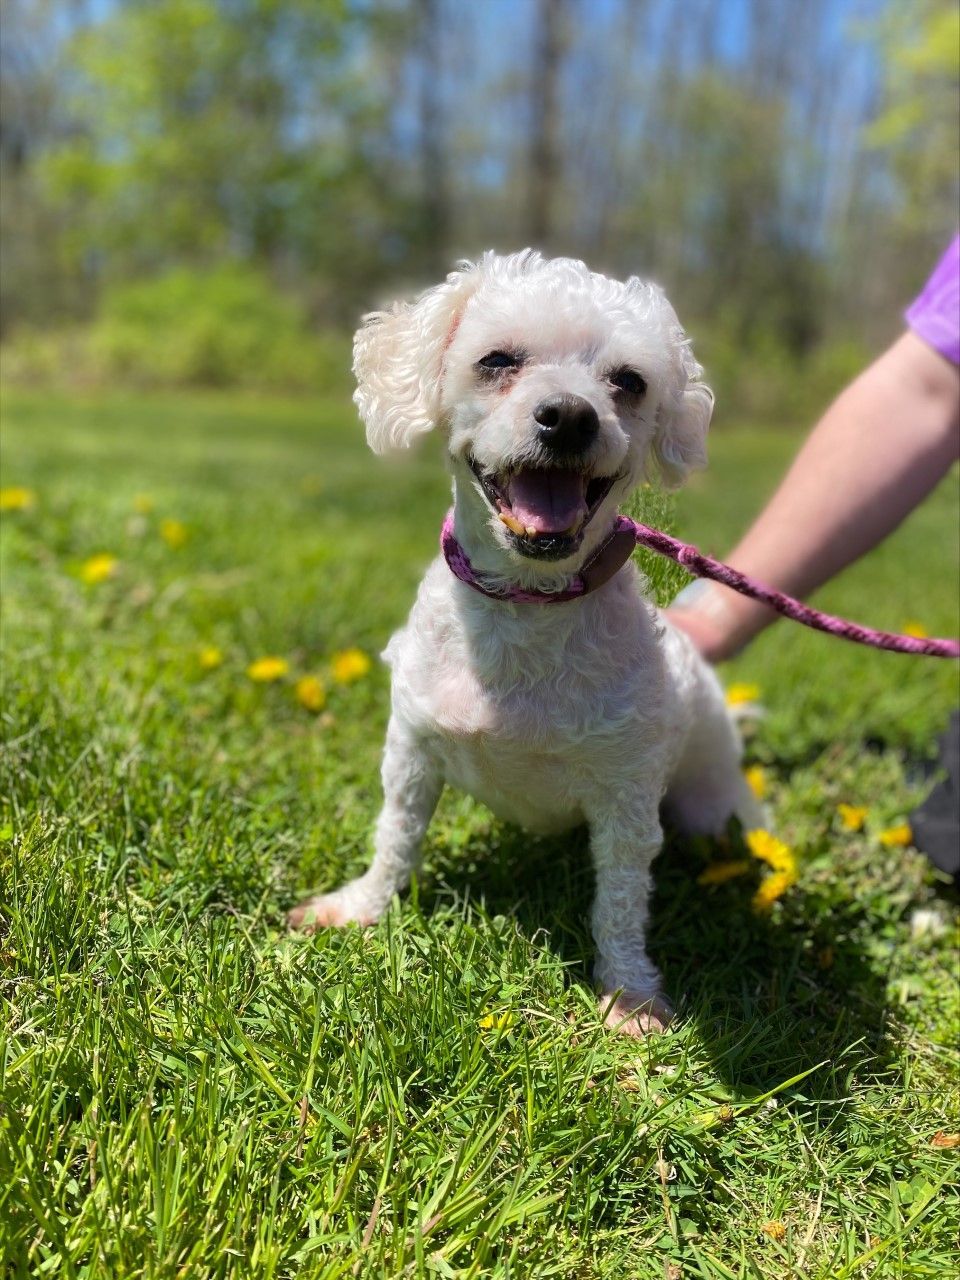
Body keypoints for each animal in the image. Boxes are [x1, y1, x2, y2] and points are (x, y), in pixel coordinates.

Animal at [289, 252, 762, 1039]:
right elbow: (395, 837)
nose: (570, 415)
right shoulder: (411, 751)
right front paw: (361, 907)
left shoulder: (627, 798)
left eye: (629, 381)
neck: (526, 608)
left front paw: (631, 995)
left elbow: (621, 901)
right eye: (498, 361)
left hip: (708, 799)